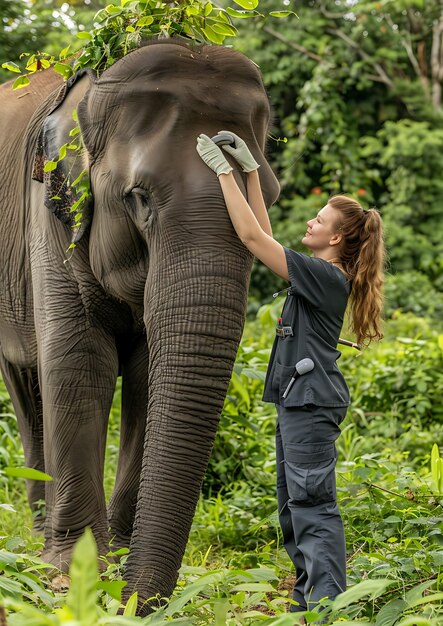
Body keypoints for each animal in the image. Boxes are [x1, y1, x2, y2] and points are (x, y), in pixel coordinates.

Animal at [0, 37, 280, 608]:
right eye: (139, 199)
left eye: (271, 195)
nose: (135, 603)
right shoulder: (48, 213)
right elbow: (79, 365)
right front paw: (73, 575)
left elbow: (148, 377)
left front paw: (113, 562)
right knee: (25, 382)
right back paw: (37, 541)